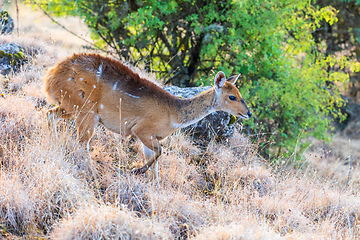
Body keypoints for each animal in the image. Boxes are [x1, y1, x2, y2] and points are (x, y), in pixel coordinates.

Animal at [44, 53, 250, 179]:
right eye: (232, 96)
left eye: (240, 93)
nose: (248, 113)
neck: (174, 113)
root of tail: (51, 77)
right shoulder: (141, 130)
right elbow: (159, 153)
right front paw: (136, 170)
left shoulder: (149, 137)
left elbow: (156, 168)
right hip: (86, 111)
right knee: (82, 143)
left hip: (70, 107)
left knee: (49, 114)